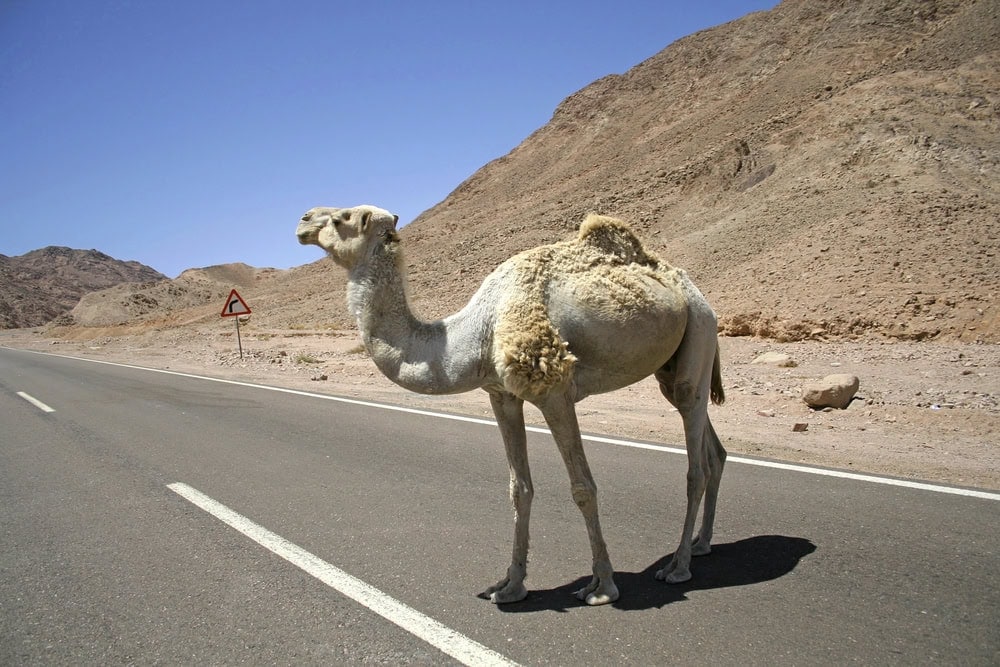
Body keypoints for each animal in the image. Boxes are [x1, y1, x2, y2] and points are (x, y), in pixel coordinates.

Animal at [296, 206, 728, 608]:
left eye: (343, 217)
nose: (302, 221)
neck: (478, 332)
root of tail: (693, 290)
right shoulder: (501, 395)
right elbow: (519, 488)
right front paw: (508, 586)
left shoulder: (554, 390)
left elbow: (582, 488)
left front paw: (602, 587)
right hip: (672, 364)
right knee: (712, 447)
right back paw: (702, 543)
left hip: (700, 330)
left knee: (695, 463)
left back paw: (678, 566)